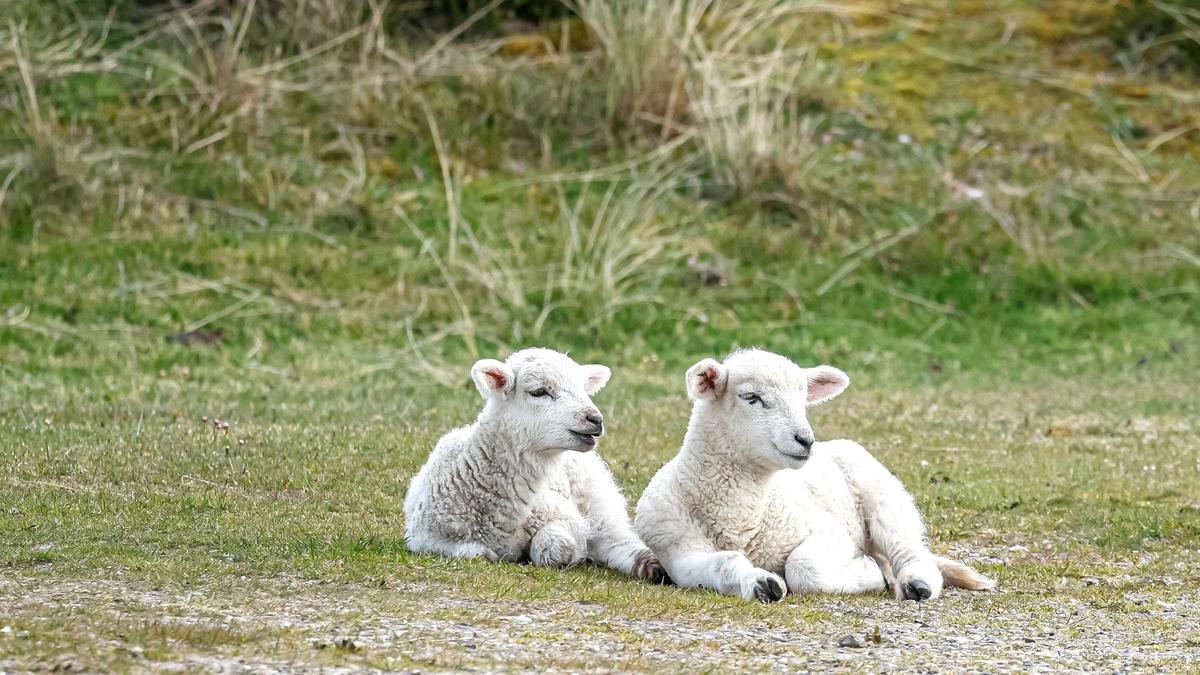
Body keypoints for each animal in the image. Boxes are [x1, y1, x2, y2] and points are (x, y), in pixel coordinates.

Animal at [403, 345, 667, 578]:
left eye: (583, 389)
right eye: (539, 391)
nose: (595, 419)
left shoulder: (565, 516)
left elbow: (556, 547)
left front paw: (571, 552)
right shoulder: (427, 540)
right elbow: (476, 553)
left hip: (596, 496)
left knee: (614, 538)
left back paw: (651, 565)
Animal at [638, 348, 993, 600]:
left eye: (803, 401)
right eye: (752, 397)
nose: (805, 440)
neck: (742, 517)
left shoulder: (830, 535)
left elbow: (803, 567)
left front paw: (866, 573)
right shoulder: (679, 554)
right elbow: (723, 564)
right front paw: (760, 583)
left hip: (883, 497)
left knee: (907, 549)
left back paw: (914, 582)